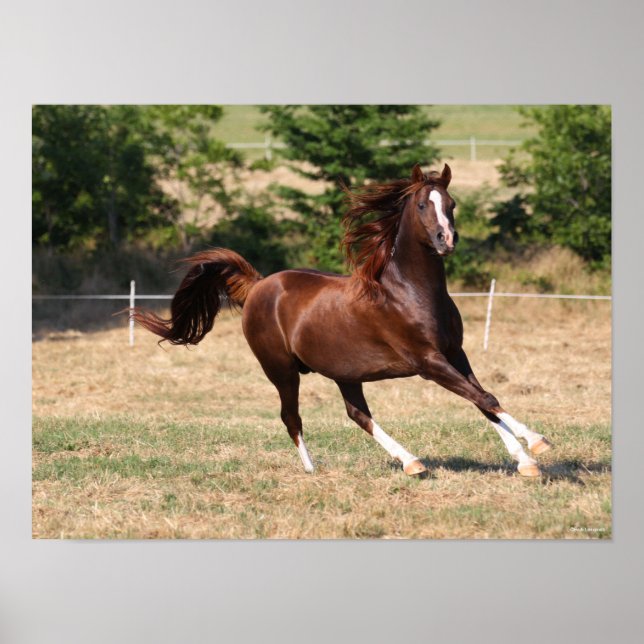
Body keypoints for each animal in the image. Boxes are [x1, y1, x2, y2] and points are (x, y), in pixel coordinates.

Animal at [132, 163, 552, 477]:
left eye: (451, 202)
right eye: (421, 204)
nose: (445, 239)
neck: (409, 292)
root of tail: (257, 286)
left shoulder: (455, 354)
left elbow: (482, 400)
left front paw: (526, 459)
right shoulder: (428, 362)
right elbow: (484, 397)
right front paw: (536, 444)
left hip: (344, 372)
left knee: (357, 414)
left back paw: (411, 462)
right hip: (281, 370)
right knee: (291, 416)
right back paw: (312, 469)